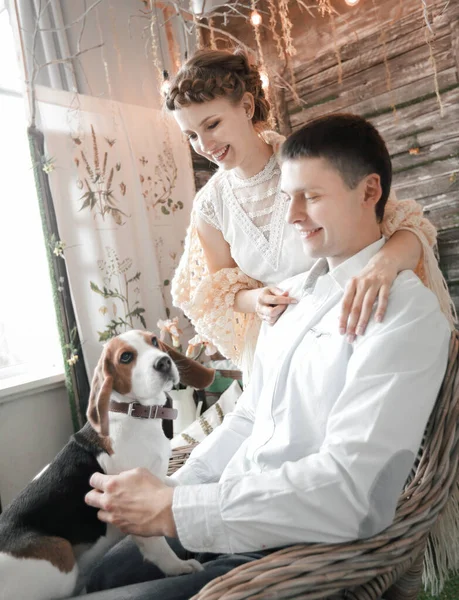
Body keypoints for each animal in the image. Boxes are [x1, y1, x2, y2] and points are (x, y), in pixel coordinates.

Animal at [0, 330, 216, 596]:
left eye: (154, 341)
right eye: (125, 357)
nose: (164, 362)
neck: (135, 413)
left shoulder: (155, 479)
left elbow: (174, 485)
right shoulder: (135, 503)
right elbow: (157, 546)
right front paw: (179, 567)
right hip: (61, 554)